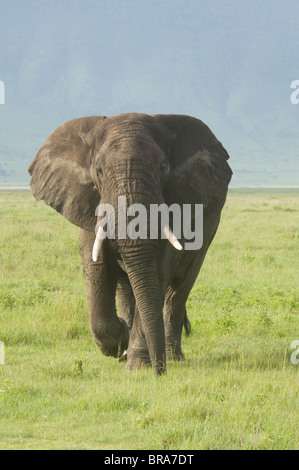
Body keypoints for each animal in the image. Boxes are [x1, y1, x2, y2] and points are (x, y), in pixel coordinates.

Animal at [28, 113, 233, 374]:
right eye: (99, 170)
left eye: (162, 168)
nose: (160, 372)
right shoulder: (89, 202)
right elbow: (96, 266)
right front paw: (121, 345)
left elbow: (157, 271)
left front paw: (137, 366)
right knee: (127, 288)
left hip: (210, 228)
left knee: (177, 291)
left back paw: (172, 357)